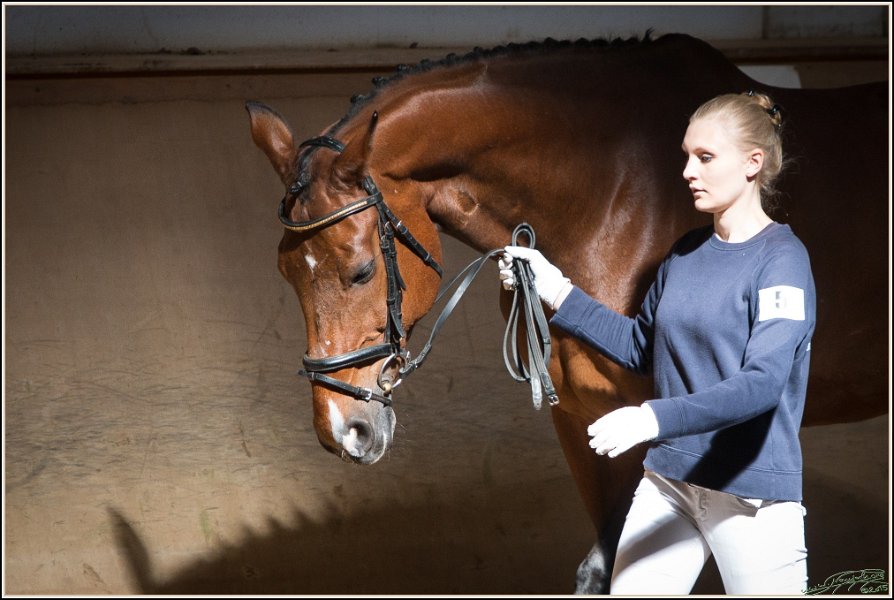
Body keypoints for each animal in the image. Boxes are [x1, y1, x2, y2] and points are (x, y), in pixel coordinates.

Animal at [246, 34, 888, 593]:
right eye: (284, 273)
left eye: (360, 271)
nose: (341, 431)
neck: (608, 194)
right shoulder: (582, 422)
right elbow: (600, 569)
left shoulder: (647, 429)